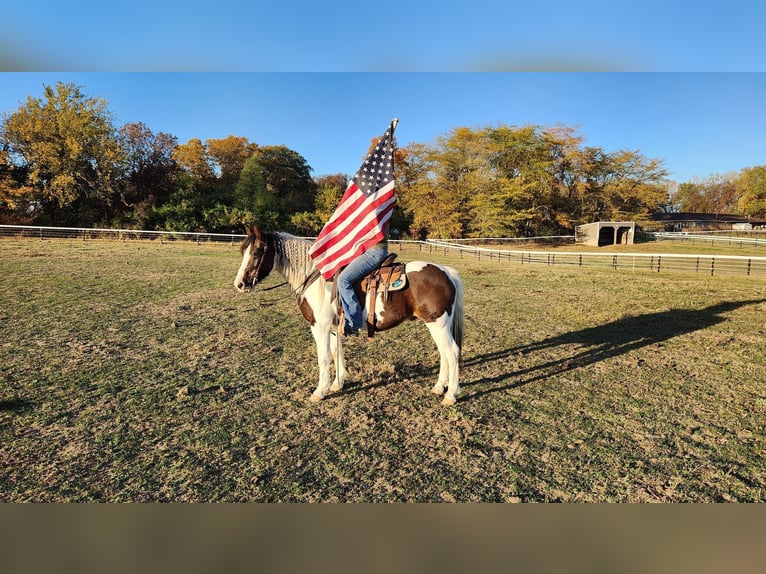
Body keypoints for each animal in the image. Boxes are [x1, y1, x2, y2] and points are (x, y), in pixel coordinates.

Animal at [232, 224, 468, 404]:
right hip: (435, 324)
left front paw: (320, 391)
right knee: (444, 353)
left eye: (256, 252)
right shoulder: (333, 328)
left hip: (437, 323)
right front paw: (338, 383)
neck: (314, 279)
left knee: (452, 352)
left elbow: (324, 357)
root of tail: (447, 272)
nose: (240, 284)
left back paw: (451, 395)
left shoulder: (319, 327)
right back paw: (439, 387)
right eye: (242, 252)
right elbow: (337, 353)